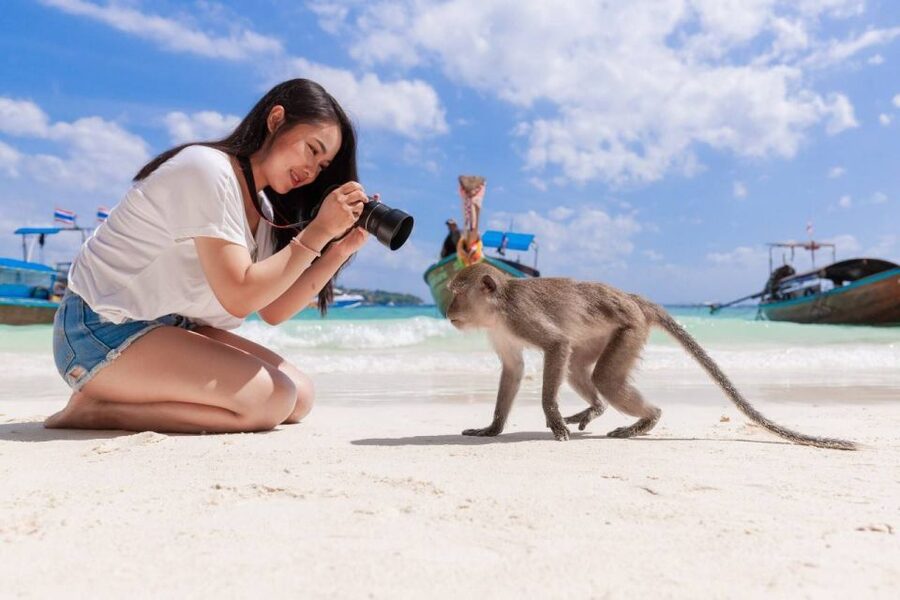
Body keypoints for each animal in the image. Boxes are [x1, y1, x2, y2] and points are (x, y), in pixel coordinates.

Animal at [445, 263, 856, 451]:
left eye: (457, 293)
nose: (447, 310)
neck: (499, 306)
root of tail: (633, 298)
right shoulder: (500, 329)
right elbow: (513, 369)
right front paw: (492, 428)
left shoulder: (518, 317)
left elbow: (556, 346)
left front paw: (554, 420)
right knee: (581, 368)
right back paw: (597, 408)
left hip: (630, 327)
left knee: (601, 377)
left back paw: (647, 419)